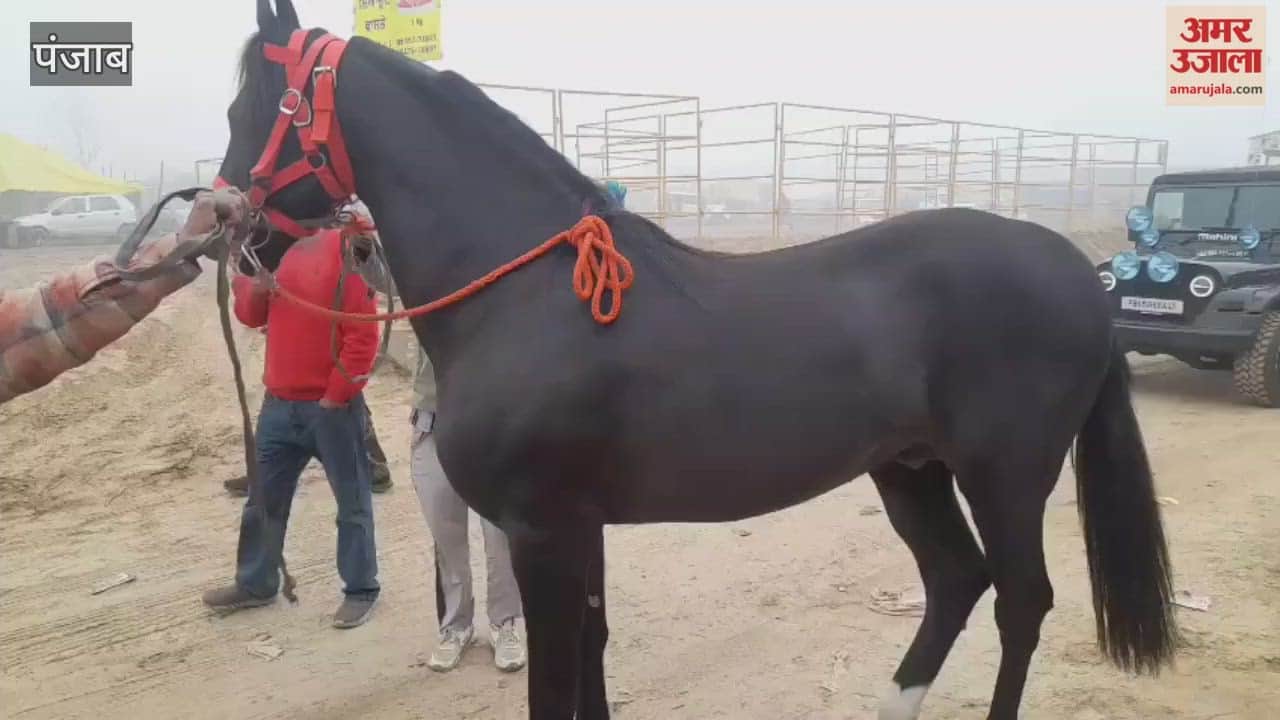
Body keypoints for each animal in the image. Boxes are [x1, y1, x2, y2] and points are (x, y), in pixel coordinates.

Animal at [215, 2, 1177, 717]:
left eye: (244, 110)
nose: (232, 227)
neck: (525, 293)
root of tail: (1077, 269)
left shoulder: (539, 529)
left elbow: (557, 678)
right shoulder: (577, 527)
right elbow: (592, 653)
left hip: (1005, 475)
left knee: (1020, 601)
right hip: (910, 469)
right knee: (954, 581)